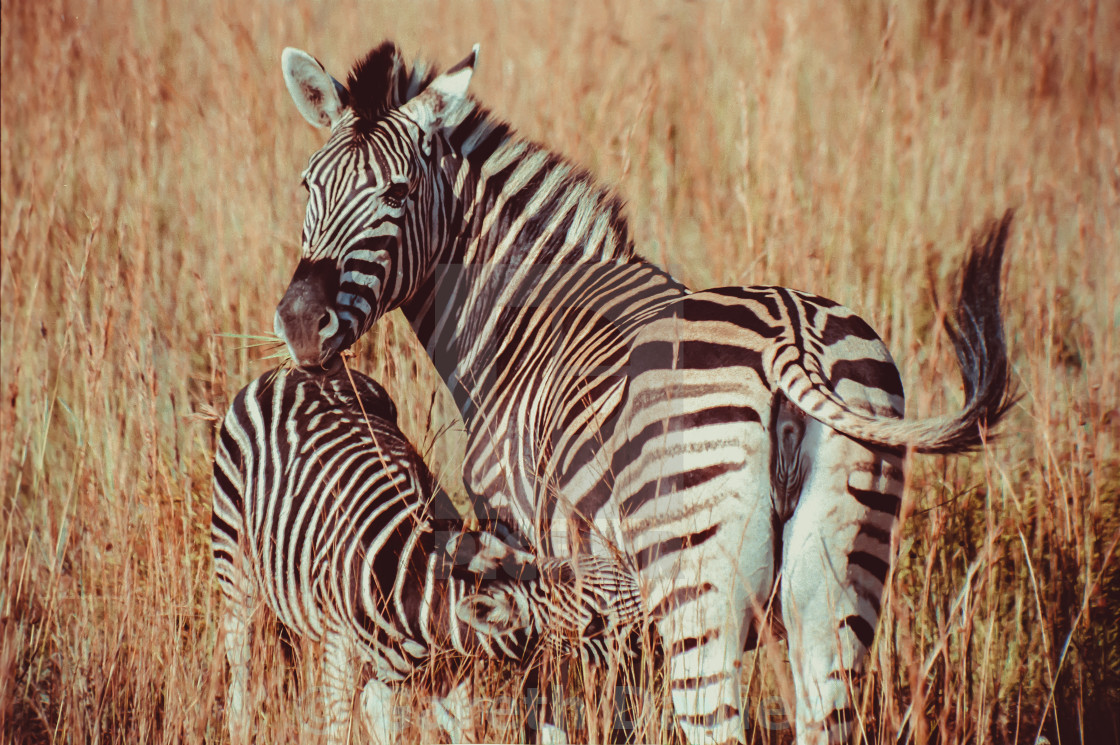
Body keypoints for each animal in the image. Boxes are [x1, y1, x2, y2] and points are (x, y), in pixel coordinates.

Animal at [210, 365, 645, 743]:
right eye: (594, 624)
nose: (650, 634)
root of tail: (297, 370)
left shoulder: (451, 671)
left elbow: (463, 733)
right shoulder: (339, 656)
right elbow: (338, 729)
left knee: (378, 715)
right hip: (236, 566)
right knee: (243, 675)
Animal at [268, 42, 1016, 743]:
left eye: (397, 194)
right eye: (306, 185)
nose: (301, 322)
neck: (523, 316)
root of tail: (792, 338)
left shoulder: (527, 543)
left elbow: (551, 702)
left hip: (698, 582)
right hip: (837, 582)